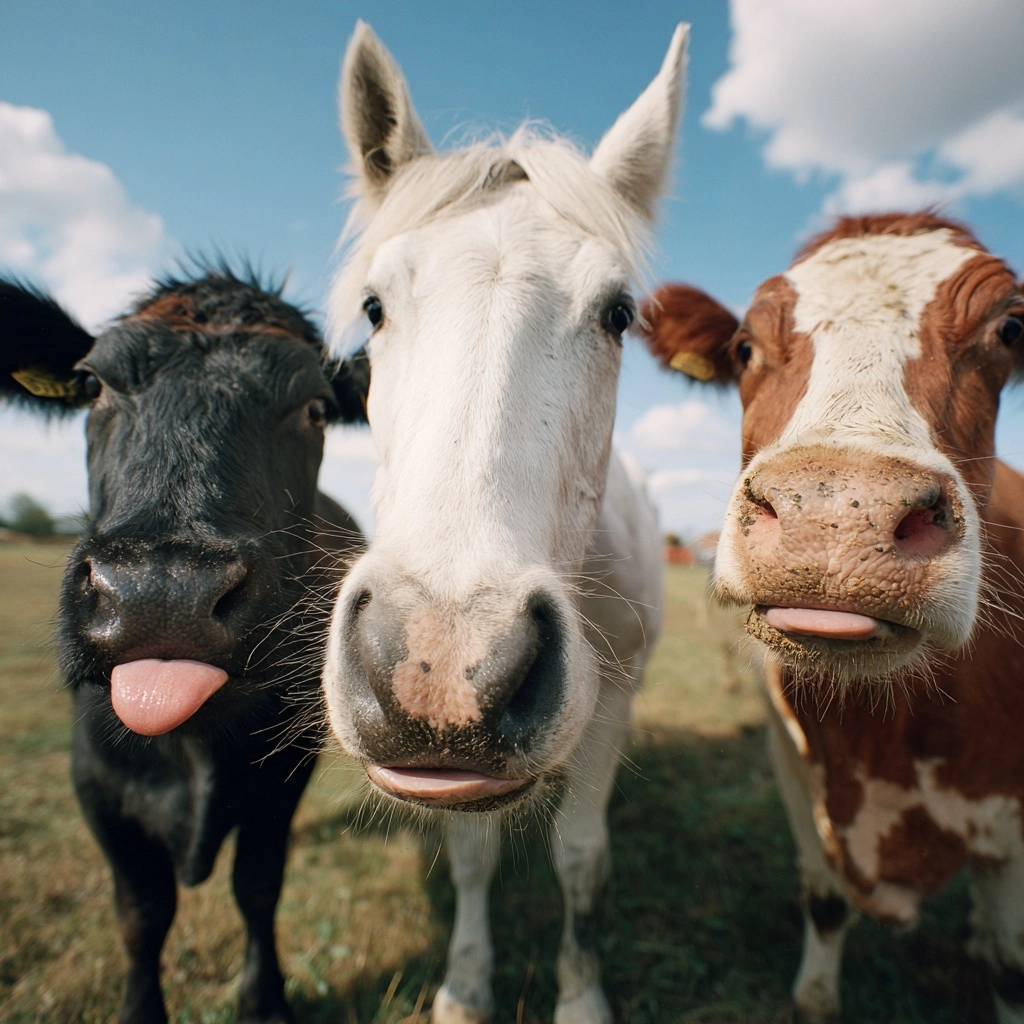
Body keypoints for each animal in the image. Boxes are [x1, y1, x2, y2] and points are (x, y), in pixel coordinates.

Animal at [1, 266, 369, 1024]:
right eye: (93, 385)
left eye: (316, 409)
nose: (163, 591)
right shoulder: (97, 787)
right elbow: (143, 914)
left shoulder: (286, 772)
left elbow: (257, 887)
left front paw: (266, 1001)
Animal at [641, 213, 1024, 1024]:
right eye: (744, 348)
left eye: (1011, 328)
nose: (838, 516)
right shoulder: (793, 767)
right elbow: (824, 902)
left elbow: (1012, 969)